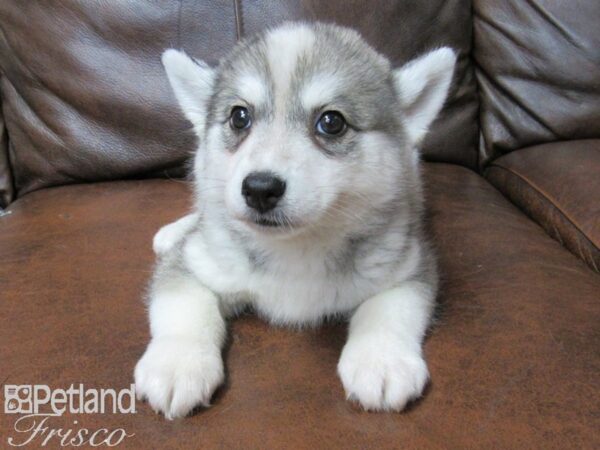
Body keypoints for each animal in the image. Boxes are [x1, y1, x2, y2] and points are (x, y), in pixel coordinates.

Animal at [135, 21, 454, 420]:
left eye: (331, 122)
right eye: (239, 117)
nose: (259, 188)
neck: (295, 248)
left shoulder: (407, 265)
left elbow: (388, 309)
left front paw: (381, 360)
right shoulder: (196, 262)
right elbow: (183, 304)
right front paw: (177, 363)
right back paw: (173, 231)